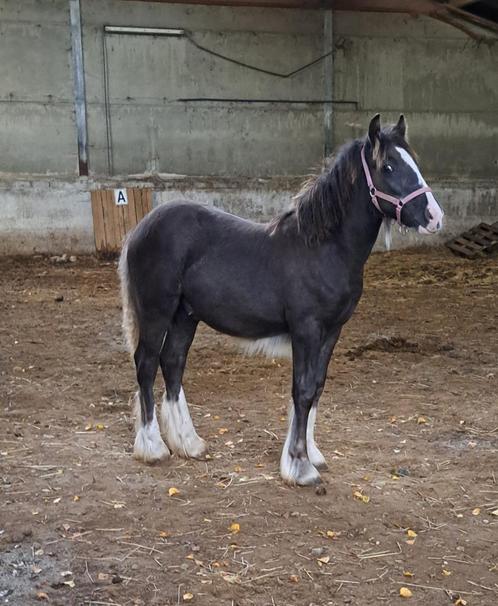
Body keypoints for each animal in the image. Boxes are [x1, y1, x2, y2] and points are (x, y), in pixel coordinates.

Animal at [119, 115, 444, 490]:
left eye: (413, 163)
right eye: (388, 166)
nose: (435, 217)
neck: (324, 248)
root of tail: (140, 229)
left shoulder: (331, 332)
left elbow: (316, 387)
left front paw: (311, 453)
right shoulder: (306, 329)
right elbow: (301, 390)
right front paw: (300, 467)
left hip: (184, 316)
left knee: (172, 364)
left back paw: (189, 443)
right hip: (157, 312)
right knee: (146, 364)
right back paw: (153, 447)